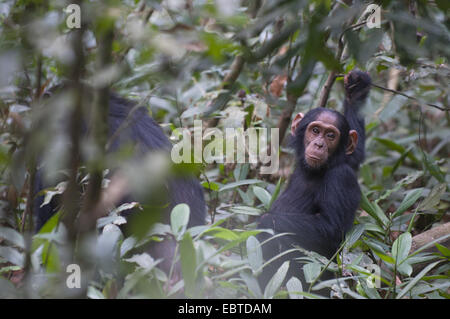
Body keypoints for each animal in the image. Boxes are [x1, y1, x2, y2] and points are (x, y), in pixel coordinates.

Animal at [258, 70, 370, 290]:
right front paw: (356, 88)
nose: (319, 144)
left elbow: (331, 227)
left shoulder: (341, 177)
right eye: (316, 131)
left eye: (331, 135)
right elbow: (357, 153)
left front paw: (265, 220)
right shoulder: (349, 161)